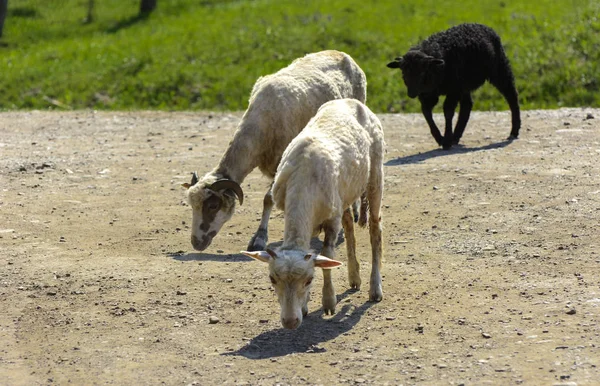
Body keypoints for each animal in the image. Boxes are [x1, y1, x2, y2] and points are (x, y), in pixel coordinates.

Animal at [182, 49, 366, 252]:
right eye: (192, 206)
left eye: (213, 206)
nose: (196, 243)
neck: (262, 120)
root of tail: (340, 52)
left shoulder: (281, 164)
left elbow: (268, 199)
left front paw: (259, 238)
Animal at [243, 99, 384, 328]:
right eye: (272, 279)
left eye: (309, 280)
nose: (290, 322)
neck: (303, 183)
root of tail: (350, 101)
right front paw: (305, 307)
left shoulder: (331, 220)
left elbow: (326, 257)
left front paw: (328, 302)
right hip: (345, 192)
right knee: (349, 224)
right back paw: (354, 276)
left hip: (375, 175)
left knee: (375, 229)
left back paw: (375, 288)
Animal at [390, 22, 520, 149]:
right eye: (403, 72)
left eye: (422, 72)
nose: (411, 94)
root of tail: (484, 26)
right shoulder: (429, 94)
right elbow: (426, 112)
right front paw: (439, 138)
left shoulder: (453, 90)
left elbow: (447, 111)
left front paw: (447, 140)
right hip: (464, 84)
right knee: (467, 105)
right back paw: (456, 136)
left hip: (499, 68)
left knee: (511, 95)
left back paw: (514, 131)